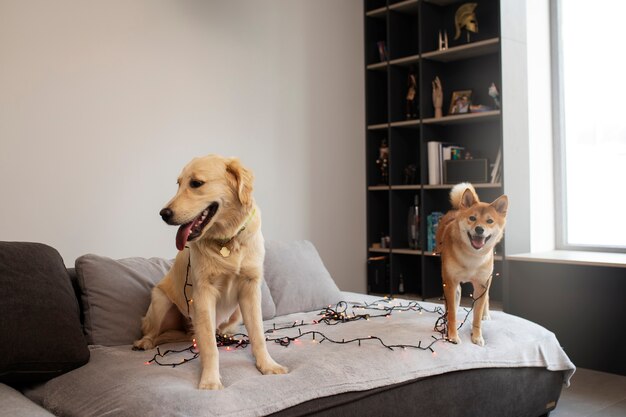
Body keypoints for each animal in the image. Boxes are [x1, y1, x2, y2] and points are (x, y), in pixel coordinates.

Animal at [434, 182, 508, 344]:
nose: (479, 229)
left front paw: (477, 337)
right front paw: (452, 336)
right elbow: (452, 313)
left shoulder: (481, 285)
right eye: (472, 218)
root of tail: (456, 210)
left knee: (487, 298)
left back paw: (486, 314)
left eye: (489, 221)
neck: (472, 256)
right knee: (454, 300)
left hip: (488, 279)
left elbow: (477, 316)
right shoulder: (450, 282)